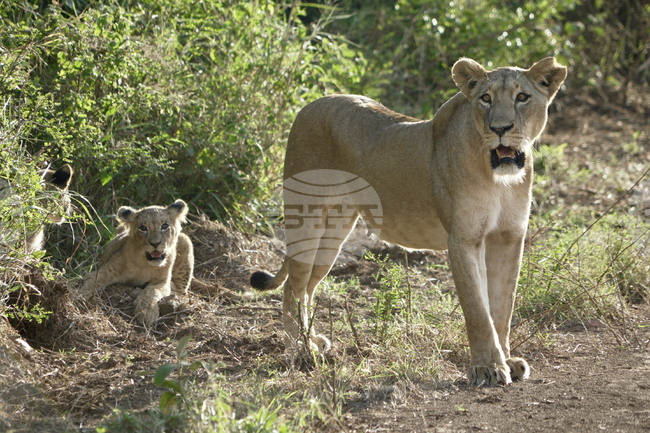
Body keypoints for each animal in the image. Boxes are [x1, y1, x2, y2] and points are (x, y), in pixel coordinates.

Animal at [250, 57, 567, 386]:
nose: (500, 128)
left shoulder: (509, 237)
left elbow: (502, 308)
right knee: (292, 286)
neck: (499, 178)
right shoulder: (464, 239)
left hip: (334, 232)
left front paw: (507, 360)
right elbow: (478, 310)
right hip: (307, 218)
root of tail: (309, 105)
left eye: (522, 97)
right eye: (485, 98)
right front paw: (487, 368)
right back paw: (300, 348)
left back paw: (312, 340)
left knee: (308, 286)